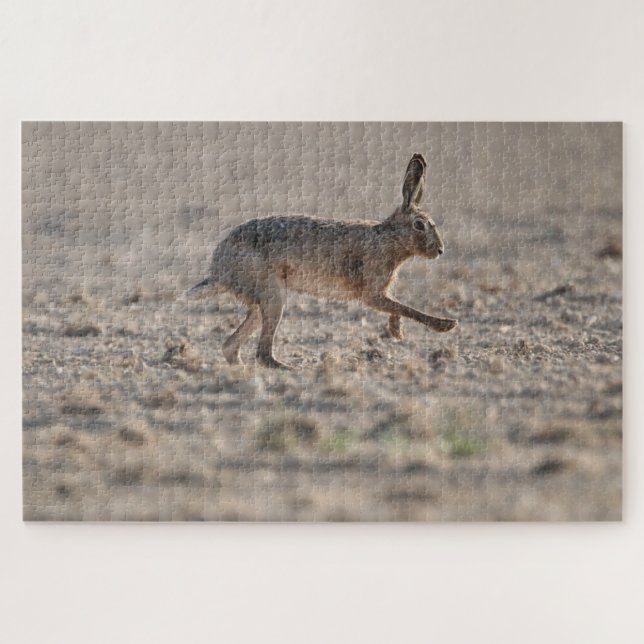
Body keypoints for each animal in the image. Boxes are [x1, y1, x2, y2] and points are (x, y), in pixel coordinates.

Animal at [188, 153, 458, 369]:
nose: (440, 250)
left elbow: (398, 308)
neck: (389, 238)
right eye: (419, 225)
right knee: (262, 353)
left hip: (263, 300)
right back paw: (289, 369)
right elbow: (405, 307)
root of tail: (218, 269)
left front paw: (396, 331)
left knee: (231, 345)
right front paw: (446, 325)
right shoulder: (372, 293)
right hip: (272, 295)